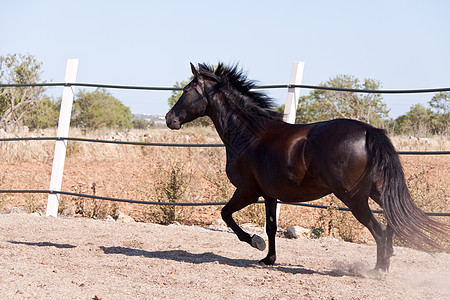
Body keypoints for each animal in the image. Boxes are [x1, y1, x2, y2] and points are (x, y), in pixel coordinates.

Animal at [166, 63, 450, 272]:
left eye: (187, 90)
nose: (170, 119)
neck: (249, 135)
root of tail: (368, 131)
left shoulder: (247, 191)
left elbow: (226, 214)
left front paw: (255, 243)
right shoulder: (269, 195)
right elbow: (271, 227)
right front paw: (268, 259)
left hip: (354, 198)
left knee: (379, 230)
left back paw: (377, 271)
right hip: (377, 192)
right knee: (390, 225)